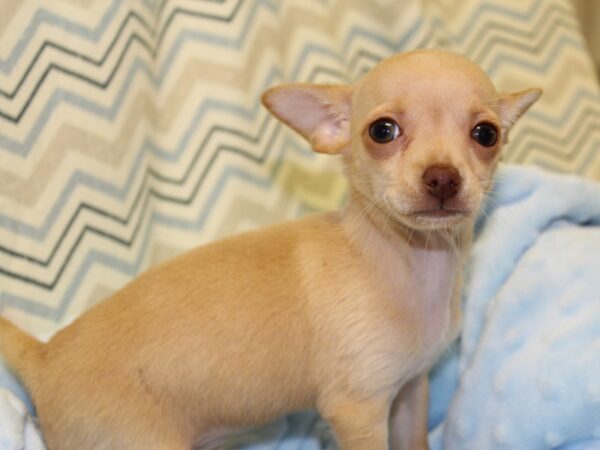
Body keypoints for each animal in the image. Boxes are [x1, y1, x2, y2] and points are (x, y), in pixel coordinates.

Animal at [0, 49, 540, 450]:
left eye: (486, 134)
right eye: (382, 131)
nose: (443, 178)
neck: (409, 260)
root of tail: (45, 355)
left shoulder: (410, 390)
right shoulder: (358, 410)